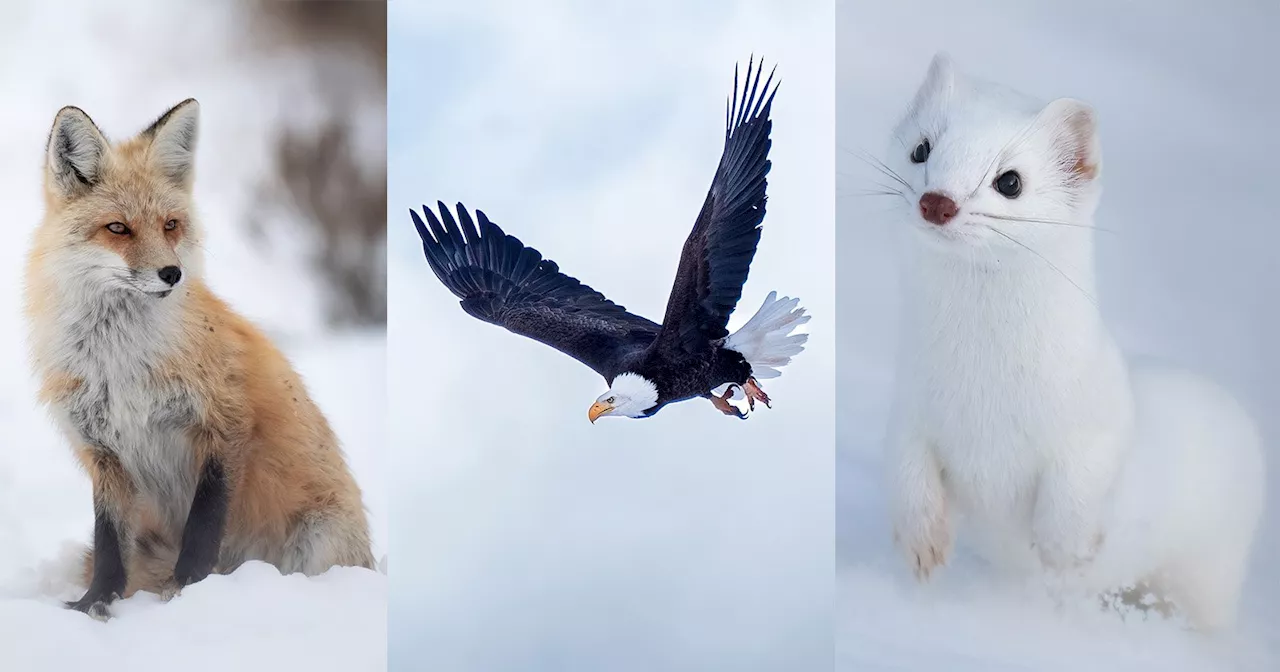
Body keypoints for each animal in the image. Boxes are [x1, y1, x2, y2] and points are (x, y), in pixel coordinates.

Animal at [26, 98, 373, 619]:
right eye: (117, 228)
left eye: (170, 225)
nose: (172, 272)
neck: (122, 364)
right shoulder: (103, 453)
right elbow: (108, 544)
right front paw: (95, 604)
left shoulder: (225, 425)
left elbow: (204, 527)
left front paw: (188, 591)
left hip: (319, 538)